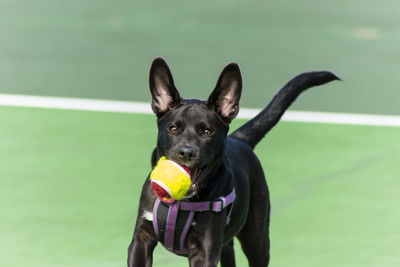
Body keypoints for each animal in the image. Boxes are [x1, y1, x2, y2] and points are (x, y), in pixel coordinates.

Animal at [127, 57, 338, 266]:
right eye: (173, 128)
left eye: (207, 131)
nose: (186, 153)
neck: (178, 205)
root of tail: (239, 138)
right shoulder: (141, 239)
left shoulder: (205, 250)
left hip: (257, 238)